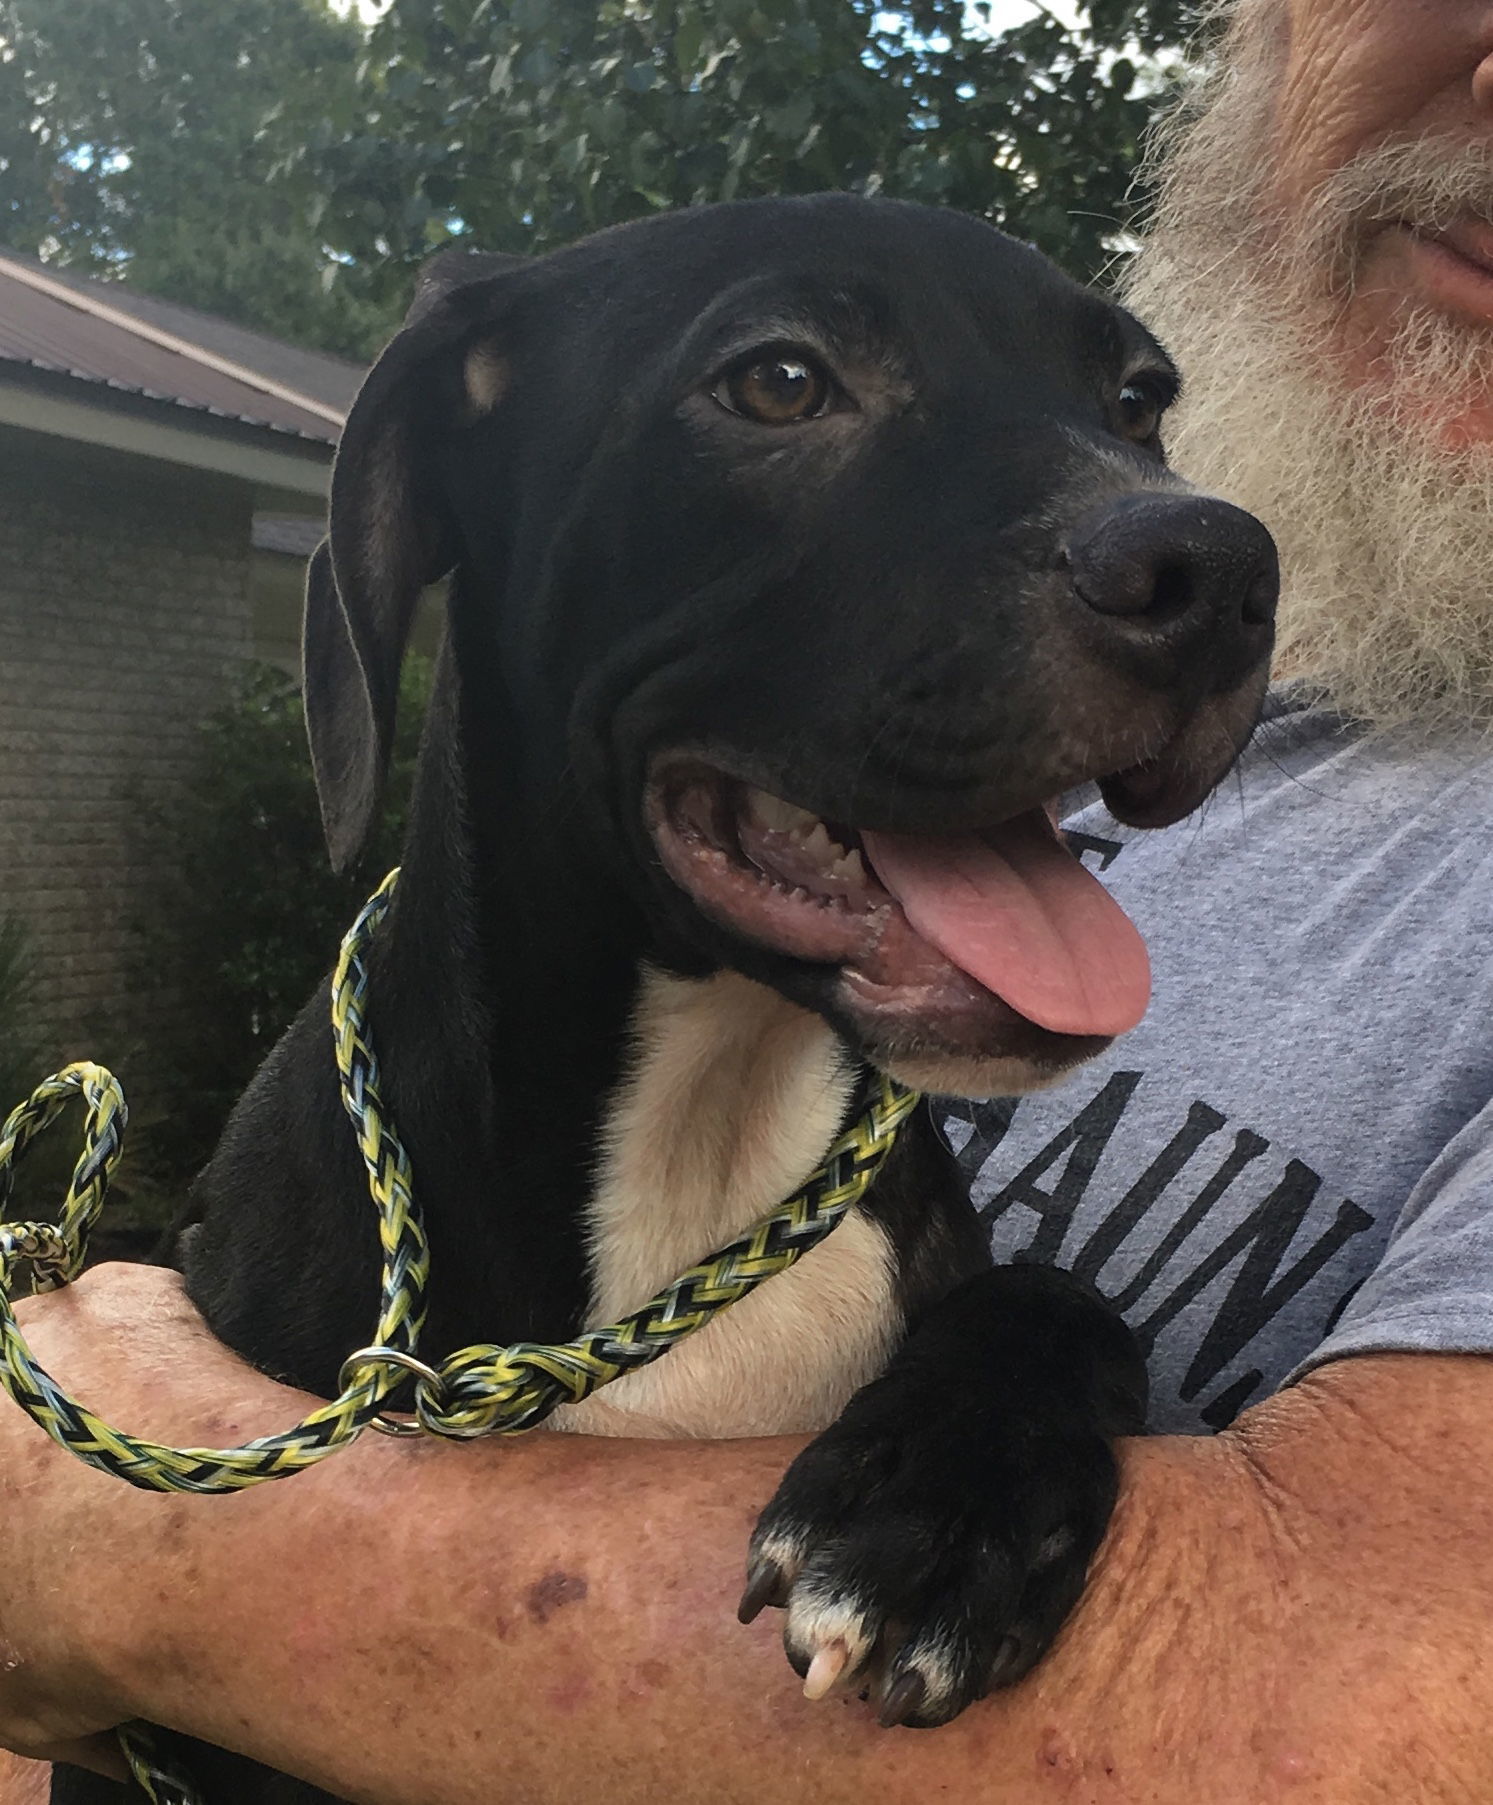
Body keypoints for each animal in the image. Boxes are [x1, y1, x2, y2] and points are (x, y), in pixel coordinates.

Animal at [55, 194, 1270, 1805]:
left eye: (1138, 400)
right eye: (779, 381)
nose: (1223, 571)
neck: (701, 1123)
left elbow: (1062, 1301)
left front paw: (934, 1504)